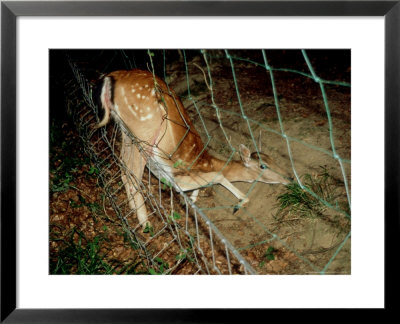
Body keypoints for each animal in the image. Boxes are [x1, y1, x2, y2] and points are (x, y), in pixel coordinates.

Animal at [97, 68, 290, 230]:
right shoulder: (178, 178)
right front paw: (237, 204)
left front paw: (191, 202)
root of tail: (110, 77)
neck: (208, 162)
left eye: (273, 159)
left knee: (123, 168)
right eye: (263, 165)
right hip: (143, 134)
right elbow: (217, 177)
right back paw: (146, 225)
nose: (289, 178)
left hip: (125, 131)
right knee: (133, 175)